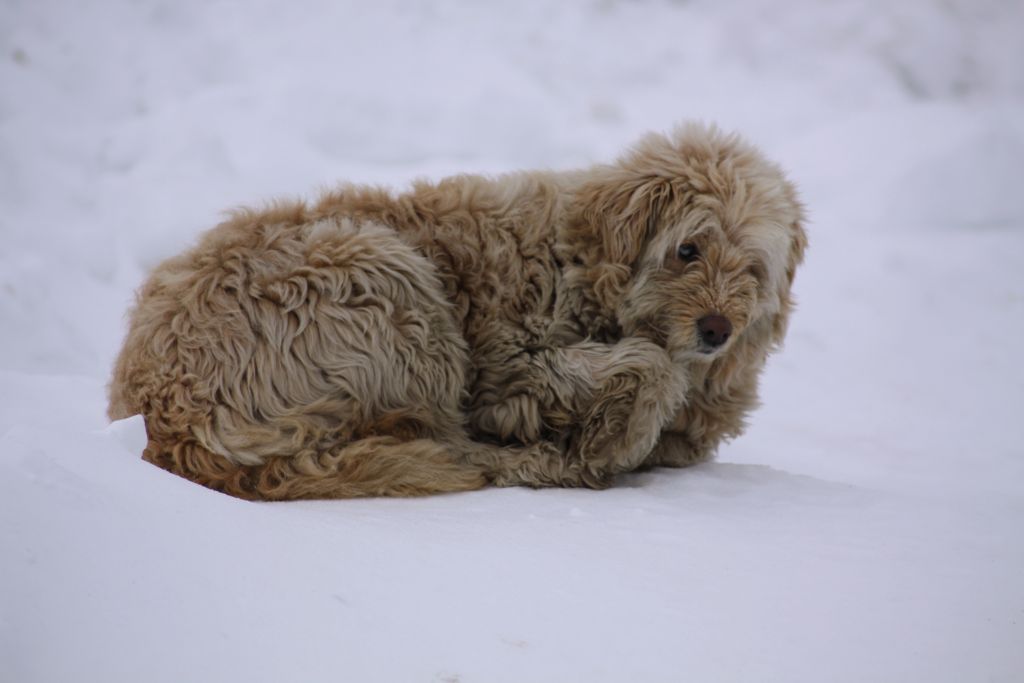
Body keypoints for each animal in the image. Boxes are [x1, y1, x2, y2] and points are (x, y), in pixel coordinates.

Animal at [108, 123, 806, 500]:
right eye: (688, 249)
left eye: (752, 268)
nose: (718, 330)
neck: (582, 260)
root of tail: (166, 420)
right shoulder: (513, 366)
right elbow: (651, 370)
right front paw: (608, 439)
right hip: (389, 285)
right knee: (447, 441)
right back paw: (540, 461)